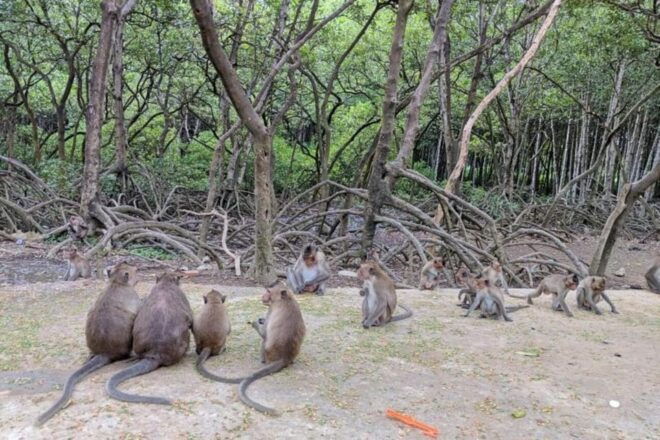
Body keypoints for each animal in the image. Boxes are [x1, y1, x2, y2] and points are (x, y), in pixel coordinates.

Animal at [239, 282, 306, 416]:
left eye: (269, 292)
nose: (263, 295)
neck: (286, 299)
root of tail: (285, 357)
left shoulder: (271, 309)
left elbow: (264, 334)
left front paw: (255, 322)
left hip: (267, 353)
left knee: (264, 340)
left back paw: (262, 361)